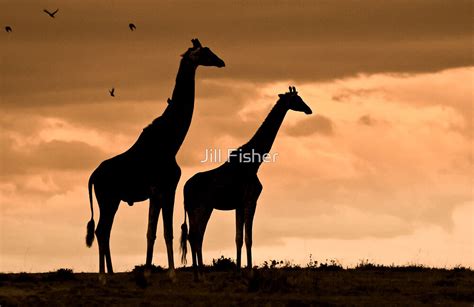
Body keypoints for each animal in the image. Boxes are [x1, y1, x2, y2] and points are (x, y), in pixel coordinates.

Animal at [86, 39, 226, 282]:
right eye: (206, 53)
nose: (221, 61)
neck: (171, 141)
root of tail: (93, 176)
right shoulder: (164, 188)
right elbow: (162, 231)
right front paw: (167, 274)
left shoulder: (160, 191)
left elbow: (157, 232)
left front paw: (152, 272)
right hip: (107, 198)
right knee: (101, 230)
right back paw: (103, 277)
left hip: (112, 200)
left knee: (104, 231)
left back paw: (109, 275)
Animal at [181, 86, 312, 282]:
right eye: (297, 99)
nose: (309, 109)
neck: (255, 162)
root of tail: (184, 189)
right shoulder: (251, 200)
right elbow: (248, 238)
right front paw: (250, 272)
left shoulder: (239, 205)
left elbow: (238, 238)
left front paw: (238, 272)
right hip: (202, 207)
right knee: (196, 235)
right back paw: (201, 275)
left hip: (196, 208)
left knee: (193, 236)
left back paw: (198, 275)